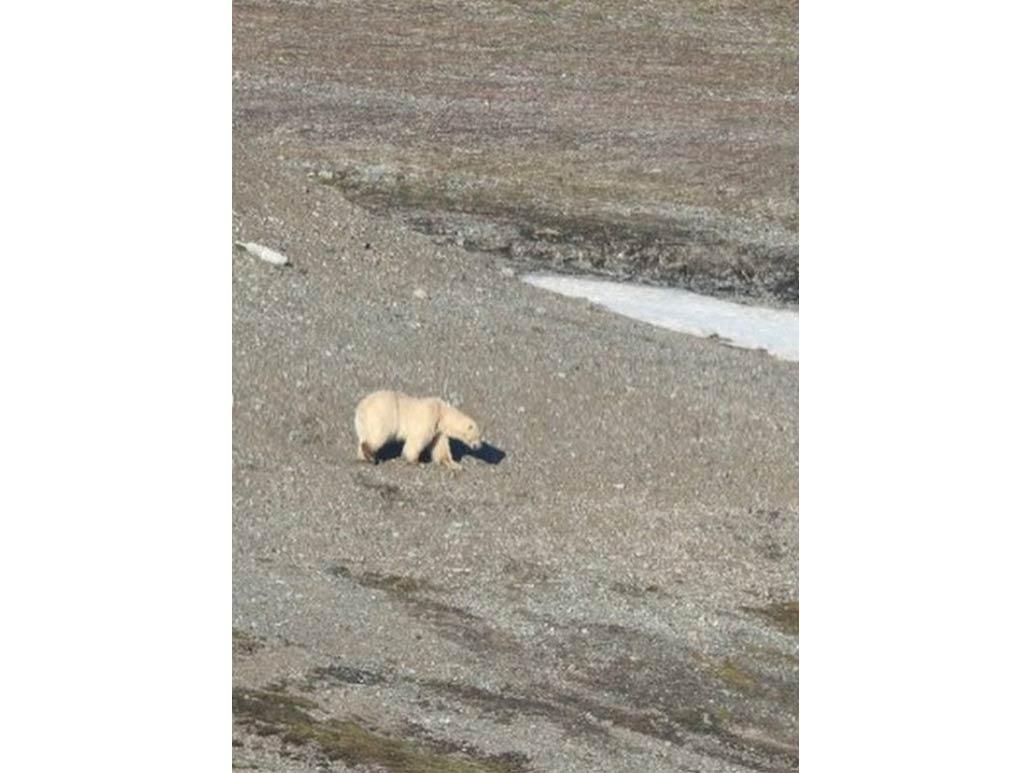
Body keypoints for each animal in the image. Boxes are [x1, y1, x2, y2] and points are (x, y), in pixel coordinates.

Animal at [354, 389, 483, 470]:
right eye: (477, 436)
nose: (478, 446)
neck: (441, 412)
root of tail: (362, 407)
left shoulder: (439, 431)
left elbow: (440, 448)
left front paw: (454, 465)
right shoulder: (429, 418)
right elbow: (417, 439)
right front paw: (416, 462)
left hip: (364, 423)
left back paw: (363, 457)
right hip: (383, 415)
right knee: (377, 436)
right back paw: (370, 454)